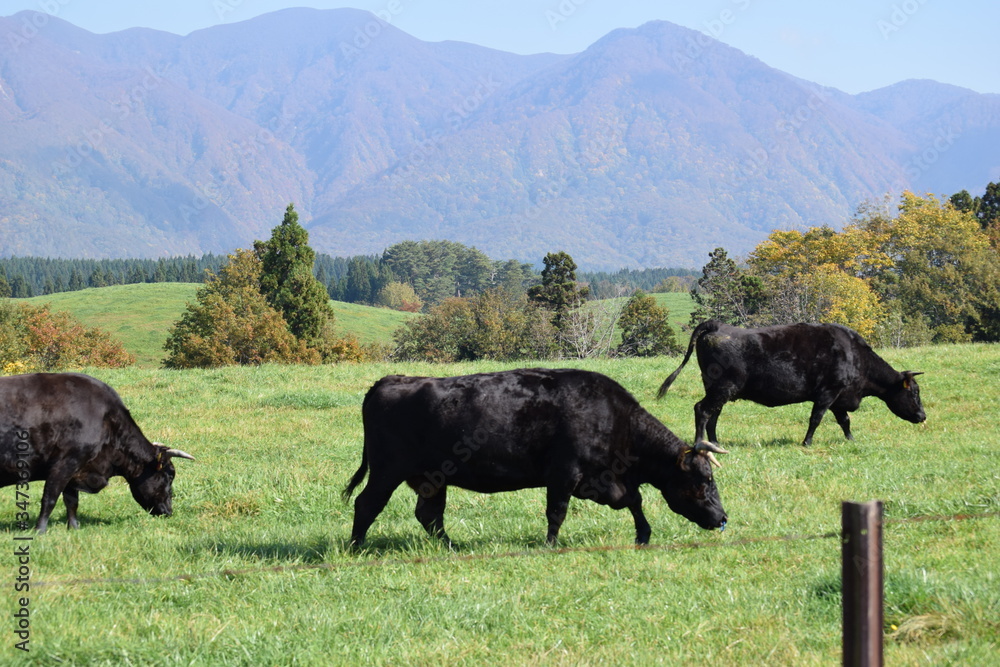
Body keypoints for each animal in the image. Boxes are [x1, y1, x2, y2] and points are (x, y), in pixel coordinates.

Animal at [0, 374, 194, 536]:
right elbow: (49, 498)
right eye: (169, 476)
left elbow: (72, 502)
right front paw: (40, 531)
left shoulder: (76, 470)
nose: (169, 512)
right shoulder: (65, 463)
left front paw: (74, 529)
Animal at [344, 370, 728, 548]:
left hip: (431, 479)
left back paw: (452, 547)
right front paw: (550, 544)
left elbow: (634, 500)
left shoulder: (602, 480)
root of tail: (390, 379)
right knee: (367, 504)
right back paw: (356, 546)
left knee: (429, 514)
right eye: (705, 480)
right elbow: (556, 511)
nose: (723, 518)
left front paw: (643, 535)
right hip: (386, 471)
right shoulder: (564, 473)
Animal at [660, 320, 924, 446]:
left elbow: (845, 421)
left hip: (720, 390)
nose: (923, 416)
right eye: (914, 393)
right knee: (702, 410)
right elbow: (816, 418)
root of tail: (717, 325)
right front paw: (807, 442)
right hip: (722, 387)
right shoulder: (828, 392)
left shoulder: (840, 397)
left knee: (713, 413)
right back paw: (699, 443)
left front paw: (851, 440)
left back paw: (714, 442)